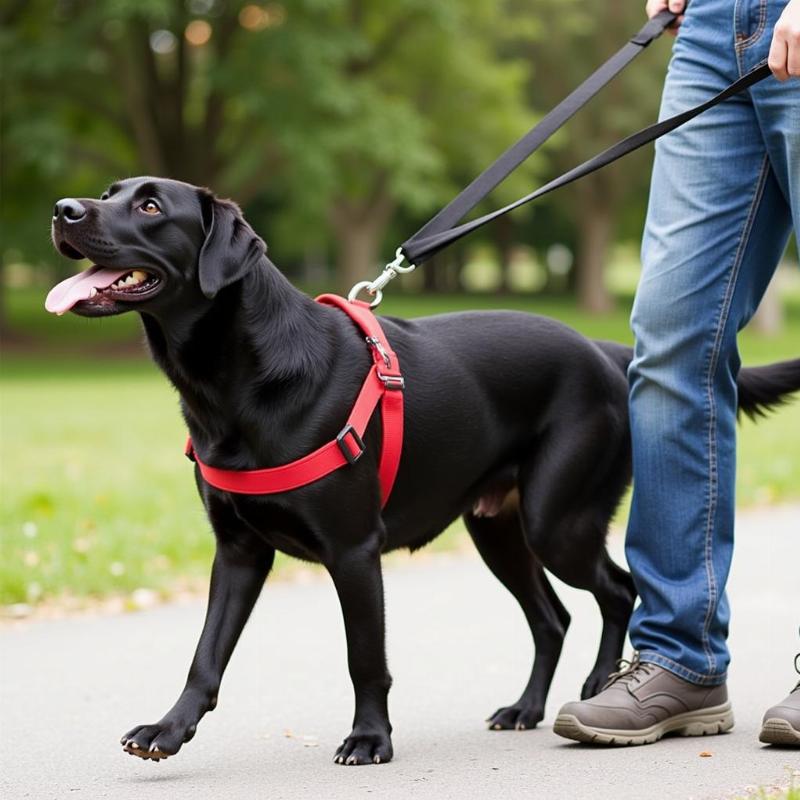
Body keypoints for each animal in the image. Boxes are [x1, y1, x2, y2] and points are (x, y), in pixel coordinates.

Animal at [47, 178, 796, 764]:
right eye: (111, 192)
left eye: (150, 206)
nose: (63, 209)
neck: (235, 377)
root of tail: (605, 349)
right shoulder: (237, 552)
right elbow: (206, 655)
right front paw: (168, 732)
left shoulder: (353, 550)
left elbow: (365, 657)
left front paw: (370, 740)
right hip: (497, 529)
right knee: (552, 617)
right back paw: (526, 708)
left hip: (558, 519)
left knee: (617, 590)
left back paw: (599, 689)